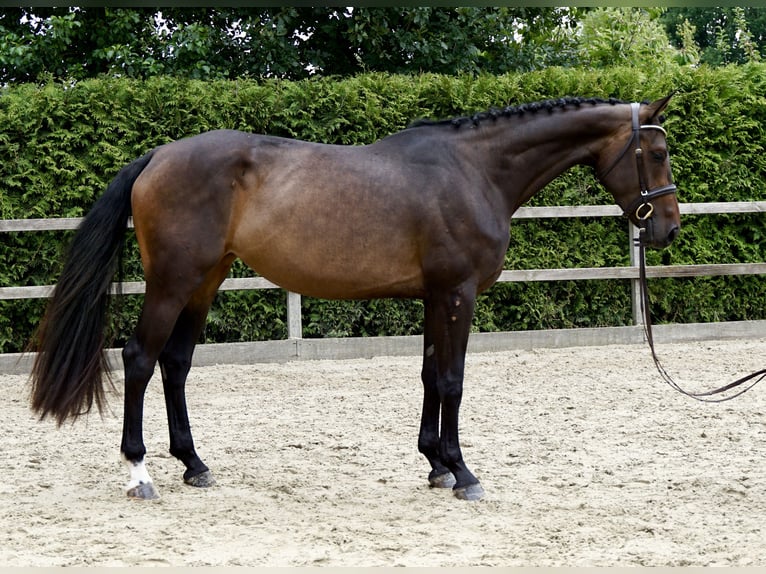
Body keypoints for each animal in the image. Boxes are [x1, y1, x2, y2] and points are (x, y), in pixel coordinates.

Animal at [29, 95, 680, 501]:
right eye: (657, 153)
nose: (669, 228)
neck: (475, 171)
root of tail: (158, 156)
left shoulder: (434, 296)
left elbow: (429, 375)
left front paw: (435, 465)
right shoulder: (458, 294)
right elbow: (453, 381)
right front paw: (463, 471)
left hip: (205, 282)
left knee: (176, 364)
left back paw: (194, 465)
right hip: (172, 282)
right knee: (140, 359)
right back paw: (139, 473)